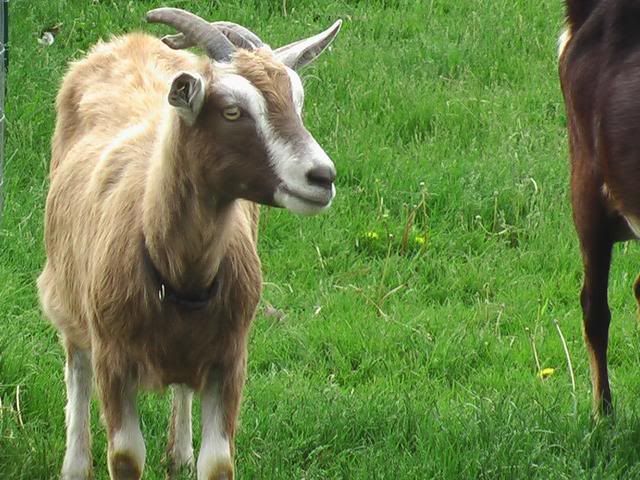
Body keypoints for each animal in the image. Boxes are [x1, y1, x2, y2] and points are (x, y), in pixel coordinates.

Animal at [37, 8, 341, 479]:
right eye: (232, 111)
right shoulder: (113, 359)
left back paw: (178, 451)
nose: (322, 177)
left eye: (298, 101)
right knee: (76, 364)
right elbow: (125, 456)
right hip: (66, 287)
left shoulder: (229, 359)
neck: (178, 275)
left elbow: (217, 462)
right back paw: (75, 464)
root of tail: (128, 41)